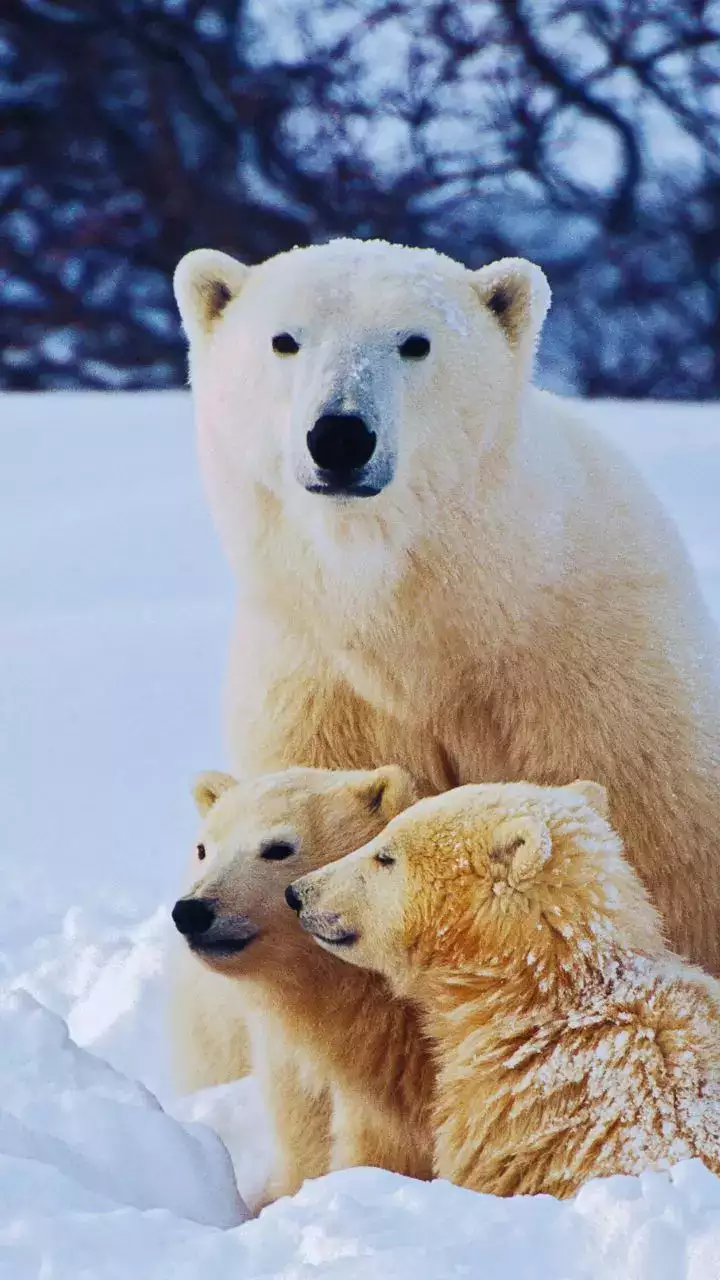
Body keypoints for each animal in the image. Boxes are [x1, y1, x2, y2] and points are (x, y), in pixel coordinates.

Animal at [174, 237, 720, 973]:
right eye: (283, 340)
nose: (340, 435)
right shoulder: (321, 691)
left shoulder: (595, 687)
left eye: (415, 342)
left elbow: (663, 856)